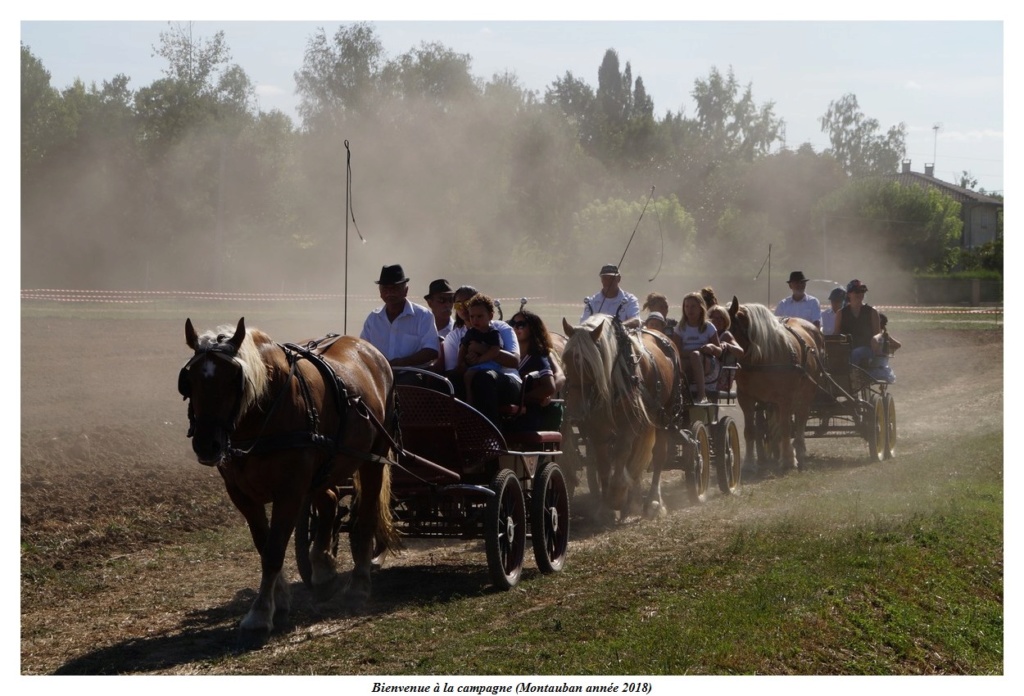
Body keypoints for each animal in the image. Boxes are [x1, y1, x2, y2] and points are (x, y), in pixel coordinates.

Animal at [180, 317, 395, 642]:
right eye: (188, 380)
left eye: (235, 380)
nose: (207, 445)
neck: (262, 416)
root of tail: (371, 351)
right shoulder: (240, 493)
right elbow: (264, 544)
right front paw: (279, 599)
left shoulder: (290, 491)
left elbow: (274, 549)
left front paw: (259, 614)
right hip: (325, 467)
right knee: (330, 501)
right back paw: (323, 569)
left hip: (373, 459)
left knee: (365, 518)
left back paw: (358, 586)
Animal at [557, 313, 684, 515]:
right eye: (566, 358)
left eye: (591, 362)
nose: (575, 411)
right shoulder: (597, 428)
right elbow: (603, 461)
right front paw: (605, 505)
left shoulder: (629, 422)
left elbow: (621, 452)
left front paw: (617, 495)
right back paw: (633, 499)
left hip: (664, 416)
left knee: (658, 456)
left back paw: (653, 501)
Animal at [729, 296, 823, 470]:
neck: (762, 358)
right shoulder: (745, 397)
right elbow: (750, 430)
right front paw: (749, 463)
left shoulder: (785, 397)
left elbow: (786, 427)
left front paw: (788, 460)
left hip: (807, 393)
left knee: (801, 418)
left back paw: (799, 450)